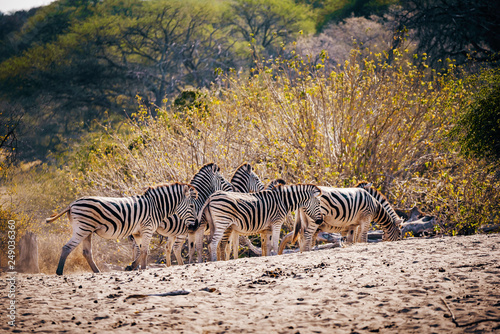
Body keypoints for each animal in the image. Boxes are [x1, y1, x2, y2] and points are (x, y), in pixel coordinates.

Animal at [45, 183, 197, 274]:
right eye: (192, 206)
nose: (195, 226)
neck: (156, 206)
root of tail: (72, 204)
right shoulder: (147, 229)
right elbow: (144, 251)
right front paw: (143, 269)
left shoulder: (138, 232)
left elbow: (140, 251)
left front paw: (133, 266)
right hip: (82, 228)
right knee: (67, 247)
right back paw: (59, 272)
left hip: (87, 231)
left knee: (87, 252)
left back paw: (97, 272)